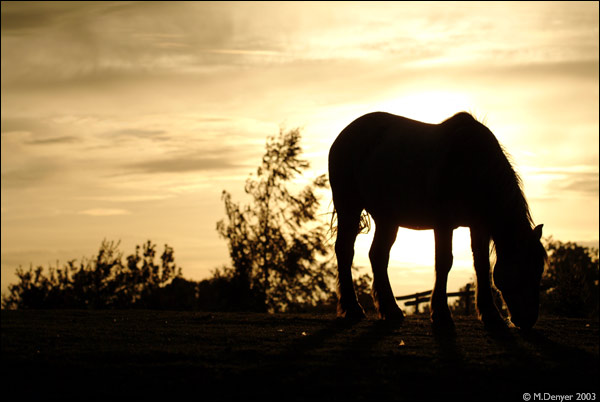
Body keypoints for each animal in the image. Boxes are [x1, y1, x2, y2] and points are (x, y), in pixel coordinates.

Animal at [330, 110, 548, 330]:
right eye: (523, 269)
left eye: (539, 269)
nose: (528, 320)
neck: (470, 164)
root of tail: (344, 135)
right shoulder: (443, 224)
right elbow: (444, 262)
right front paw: (441, 314)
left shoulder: (479, 226)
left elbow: (482, 265)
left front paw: (490, 314)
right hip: (349, 207)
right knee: (345, 251)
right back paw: (352, 308)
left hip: (387, 218)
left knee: (378, 256)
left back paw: (390, 310)